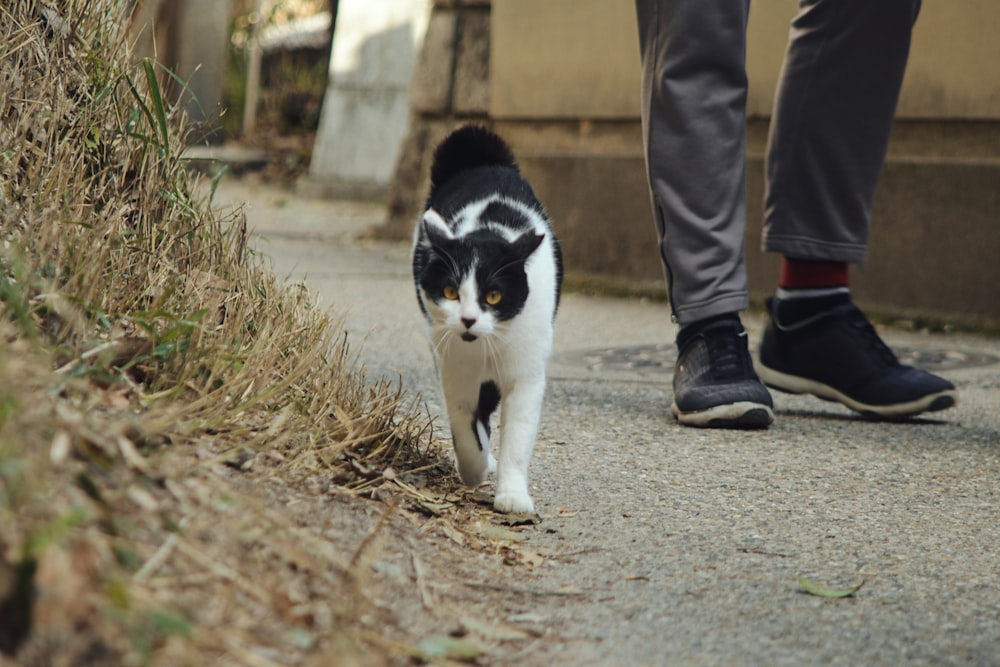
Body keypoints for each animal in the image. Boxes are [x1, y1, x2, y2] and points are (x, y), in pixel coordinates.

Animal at [410, 126, 560, 516]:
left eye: (493, 296)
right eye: (450, 291)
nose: (467, 319)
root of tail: (481, 160)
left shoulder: (525, 372)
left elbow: (518, 437)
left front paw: (513, 495)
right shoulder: (455, 369)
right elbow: (465, 425)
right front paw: (474, 469)